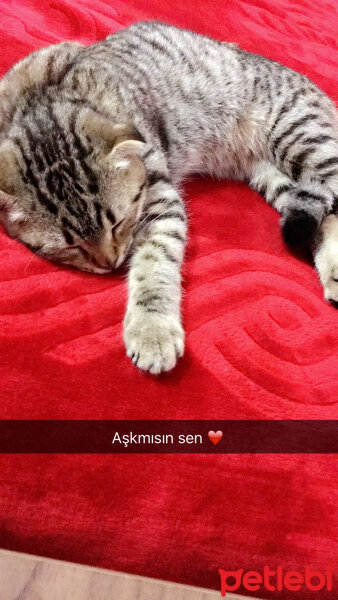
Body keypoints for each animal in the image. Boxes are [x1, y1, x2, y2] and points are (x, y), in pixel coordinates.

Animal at [0, 21, 338, 372]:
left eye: (117, 223)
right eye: (71, 246)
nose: (110, 264)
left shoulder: (161, 199)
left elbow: (154, 263)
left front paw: (152, 329)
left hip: (299, 133)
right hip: (273, 174)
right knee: (323, 210)